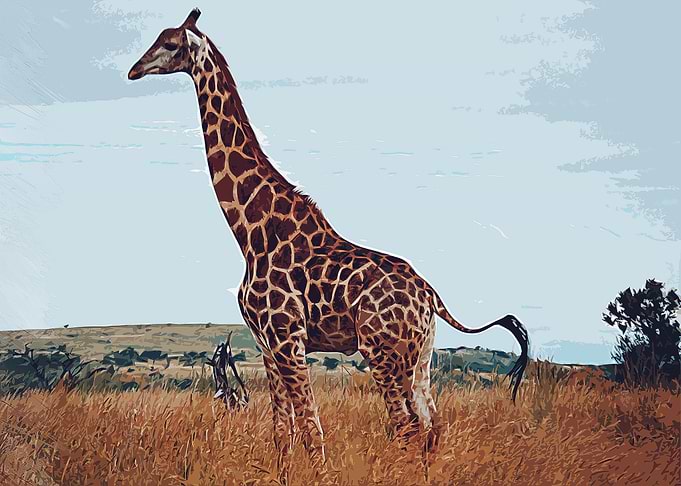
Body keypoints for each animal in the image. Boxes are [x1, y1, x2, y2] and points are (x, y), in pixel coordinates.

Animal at [129, 7, 529, 472]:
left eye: (170, 43)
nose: (133, 70)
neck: (251, 233)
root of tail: (430, 295)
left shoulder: (288, 337)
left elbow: (311, 431)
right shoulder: (266, 344)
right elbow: (282, 433)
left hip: (382, 352)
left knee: (407, 427)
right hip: (421, 355)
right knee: (432, 426)